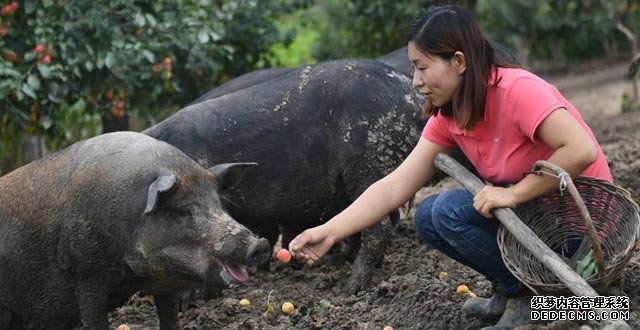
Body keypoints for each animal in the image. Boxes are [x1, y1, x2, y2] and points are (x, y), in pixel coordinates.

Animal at [0, 131, 270, 330]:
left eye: (219, 203)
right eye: (184, 210)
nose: (260, 245)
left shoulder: (165, 284)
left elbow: (170, 318)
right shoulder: (85, 274)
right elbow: (95, 321)